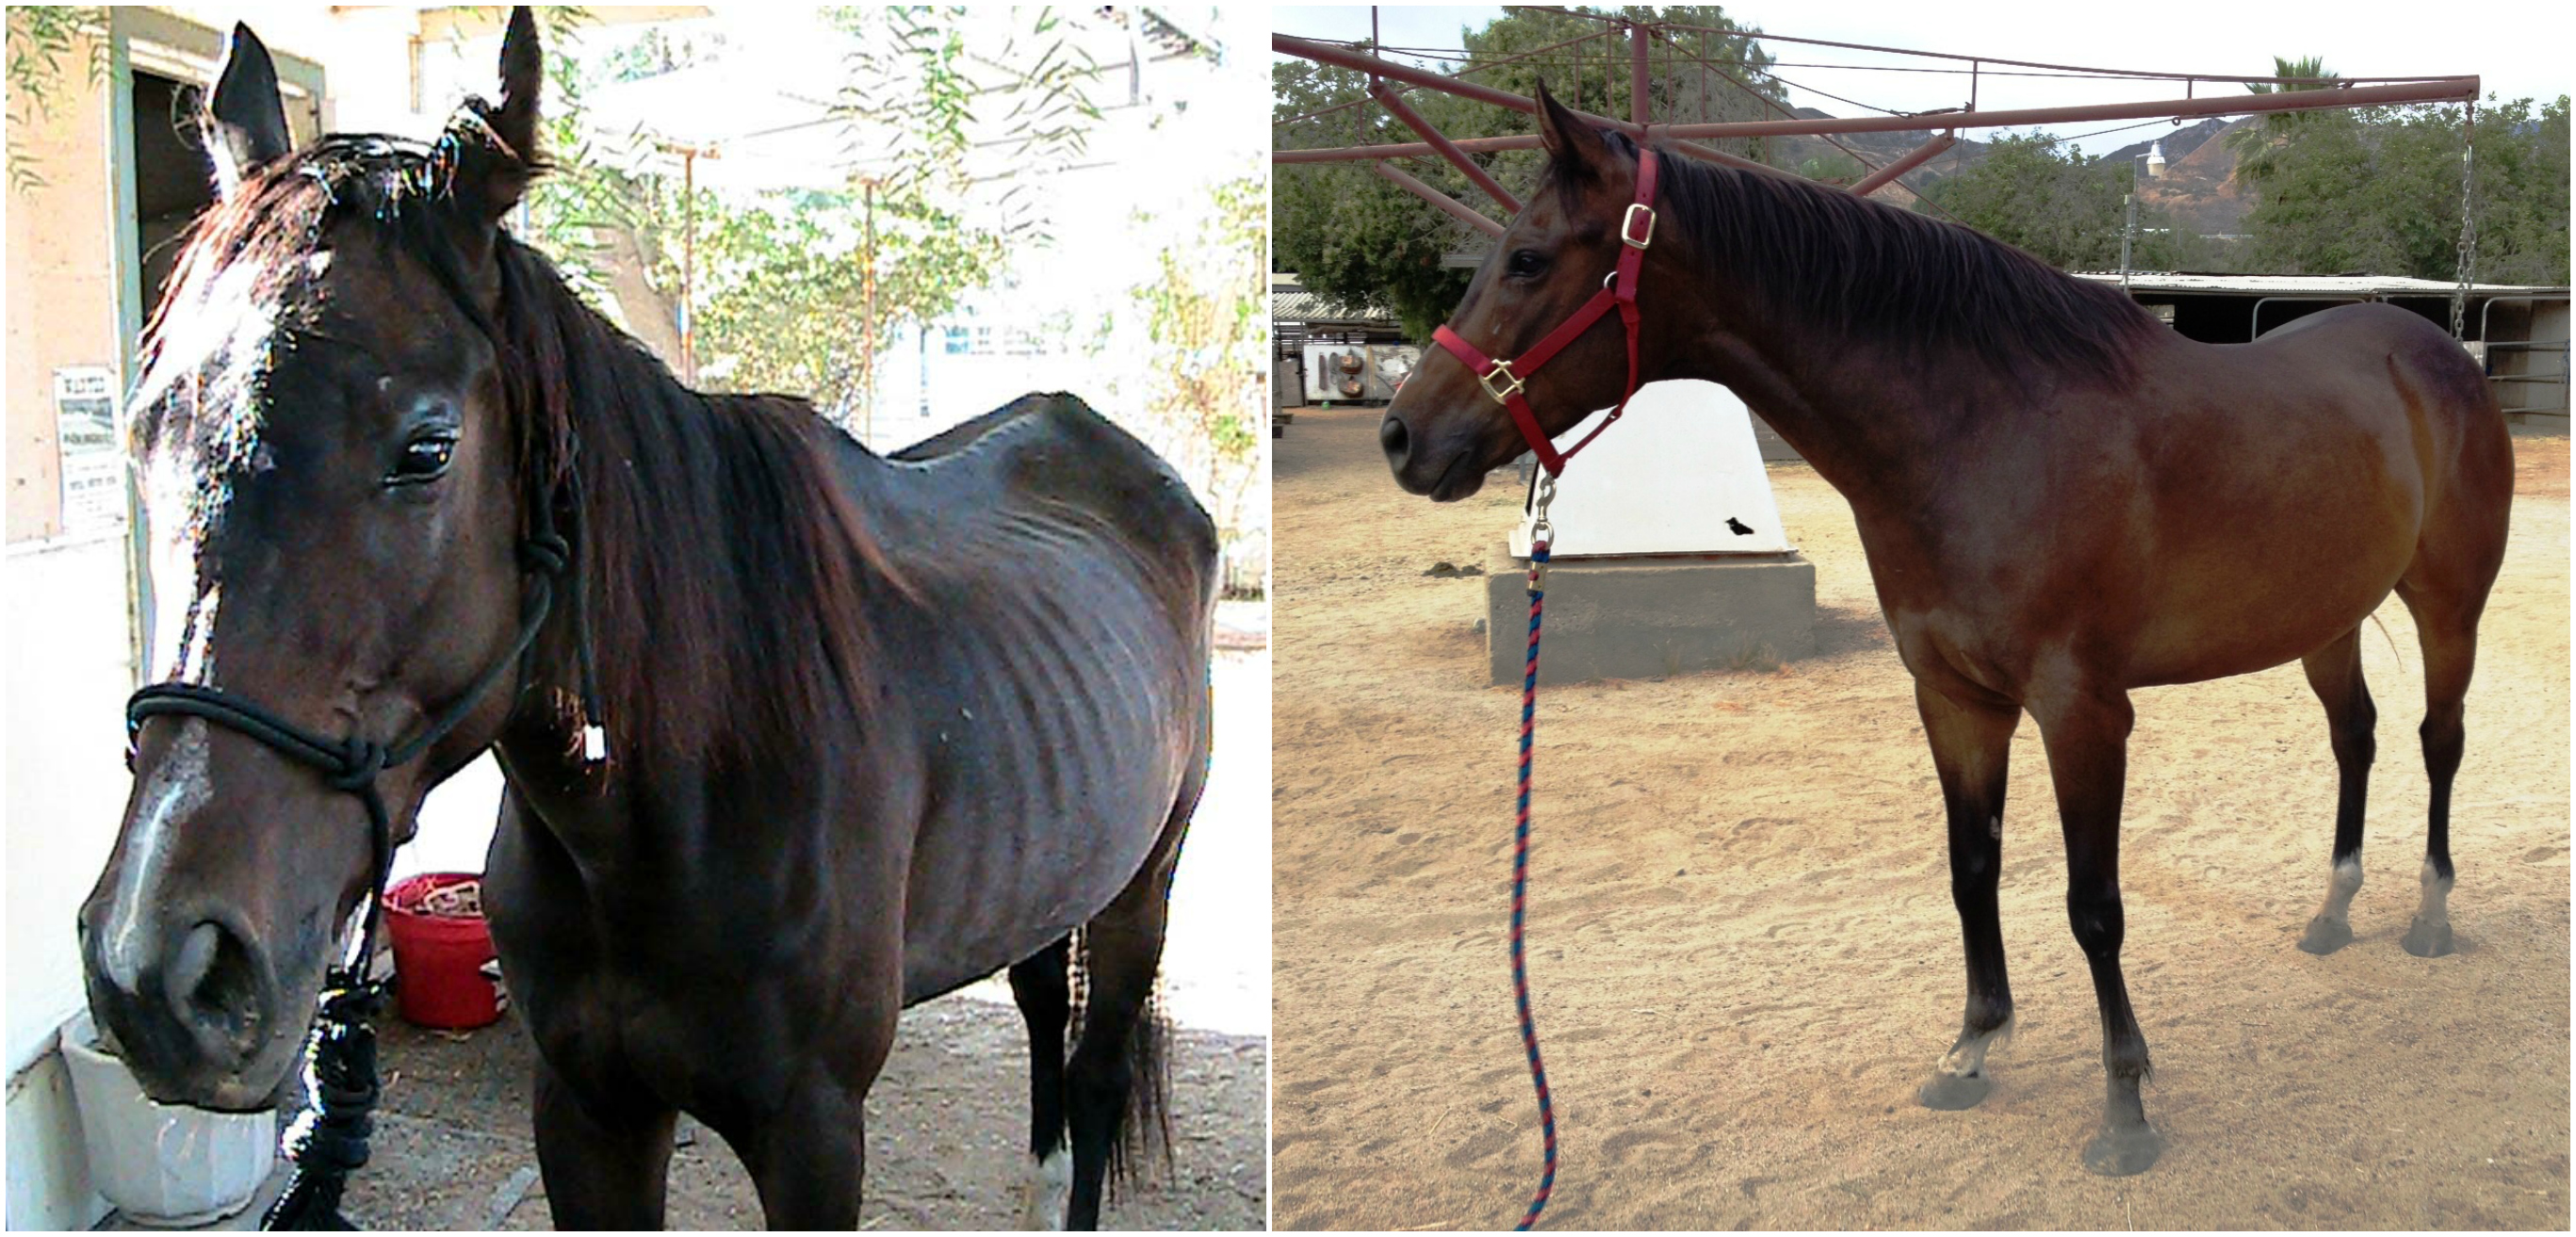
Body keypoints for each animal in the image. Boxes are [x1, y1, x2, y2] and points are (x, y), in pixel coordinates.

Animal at [73, 9, 1215, 1227]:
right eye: (146, 431)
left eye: (426, 446)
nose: (158, 968)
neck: (681, 802)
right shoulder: (587, 1106)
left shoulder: (814, 1133)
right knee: (1044, 996)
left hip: (1146, 882)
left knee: (1099, 1071)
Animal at [1391, 82, 2514, 1175]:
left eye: (1527, 258)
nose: (1403, 435)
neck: (1985, 433)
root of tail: (2436, 347)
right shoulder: (1954, 698)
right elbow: (1971, 869)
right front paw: (1972, 1046)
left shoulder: (2082, 711)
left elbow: (2093, 904)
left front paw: (2124, 1106)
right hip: (2325, 616)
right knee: (2355, 738)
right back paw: (2332, 913)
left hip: (2449, 606)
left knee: (2441, 740)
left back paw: (2429, 915)